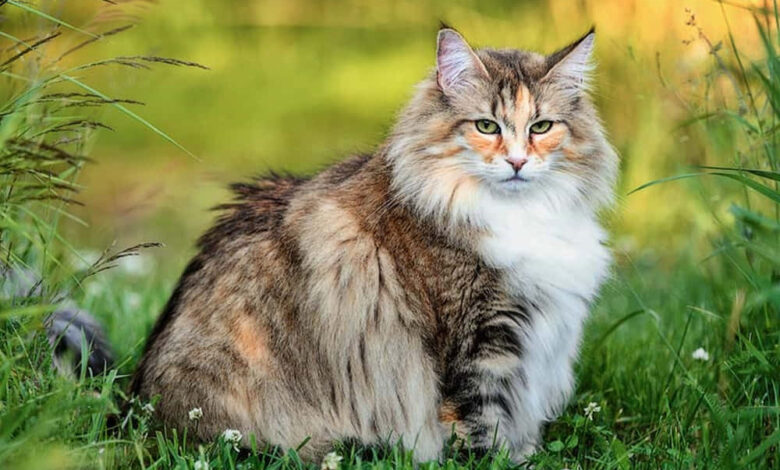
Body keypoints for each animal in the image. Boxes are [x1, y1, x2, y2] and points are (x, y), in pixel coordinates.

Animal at [126, 25, 616, 462]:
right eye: (486, 126)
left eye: (542, 126)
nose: (517, 162)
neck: (520, 214)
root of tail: (139, 413)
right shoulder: (476, 348)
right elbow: (481, 430)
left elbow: (519, 430)